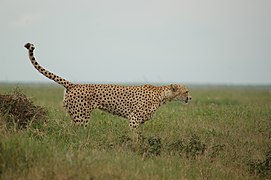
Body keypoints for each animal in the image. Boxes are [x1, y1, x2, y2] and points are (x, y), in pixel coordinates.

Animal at [24, 42, 192, 131]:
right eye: (186, 91)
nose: (190, 98)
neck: (162, 95)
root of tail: (74, 84)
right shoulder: (134, 118)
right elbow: (135, 136)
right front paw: (136, 146)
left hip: (75, 115)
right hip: (82, 117)